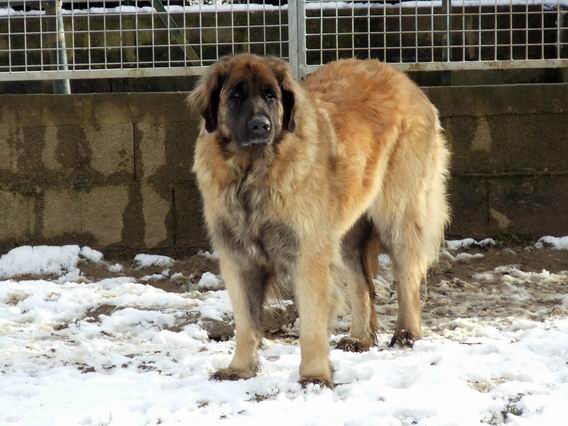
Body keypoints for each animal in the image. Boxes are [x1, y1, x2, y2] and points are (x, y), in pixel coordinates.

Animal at [189, 54, 450, 390]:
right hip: (347, 234)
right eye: (235, 96)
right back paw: (359, 337)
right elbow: (245, 323)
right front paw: (239, 369)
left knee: (407, 278)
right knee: (361, 284)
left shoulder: (308, 255)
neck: (252, 174)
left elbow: (311, 324)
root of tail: (404, 80)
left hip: (399, 215)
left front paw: (314, 376)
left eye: (270, 96)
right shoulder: (237, 258)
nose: (261, 125)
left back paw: (407, 333)